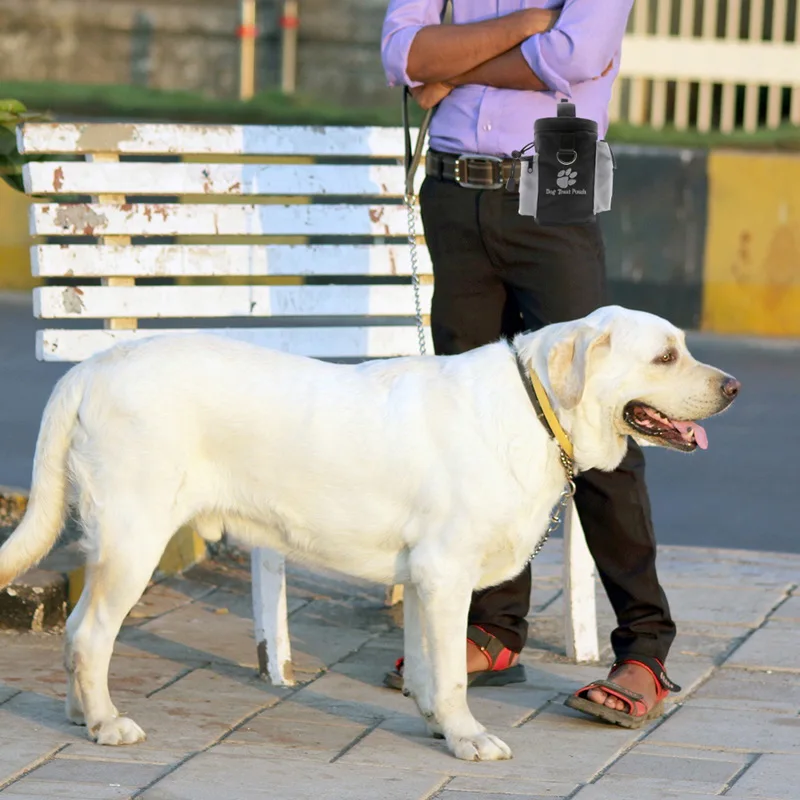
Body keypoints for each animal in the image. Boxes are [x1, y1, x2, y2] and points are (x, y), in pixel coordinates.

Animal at [0, 304, 736, 760]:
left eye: (683, 349)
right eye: (666, 357)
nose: (732, 386)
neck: (539, 409)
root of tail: (89, 368)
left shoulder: (422, 577)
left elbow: (430, 670)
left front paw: (439, 727)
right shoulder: (446, 571)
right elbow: (453, 675)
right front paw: (469, 738)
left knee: (77, 634)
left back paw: (78, 713)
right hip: (135, 534)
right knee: (90, 634)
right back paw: (104, 722)